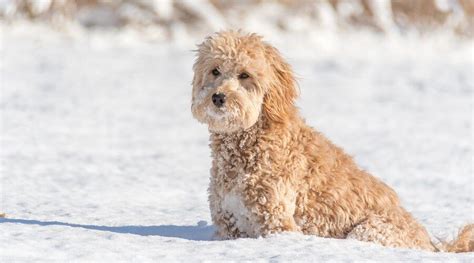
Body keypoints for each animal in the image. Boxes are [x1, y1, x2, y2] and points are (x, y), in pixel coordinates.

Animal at [191, 31, 472, 254]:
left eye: (244, 75)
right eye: (215, 71)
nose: (218, 97)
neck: (247, 143)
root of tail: (430, 245)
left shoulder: (277, 221)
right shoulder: (229, 222)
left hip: (369, 229)